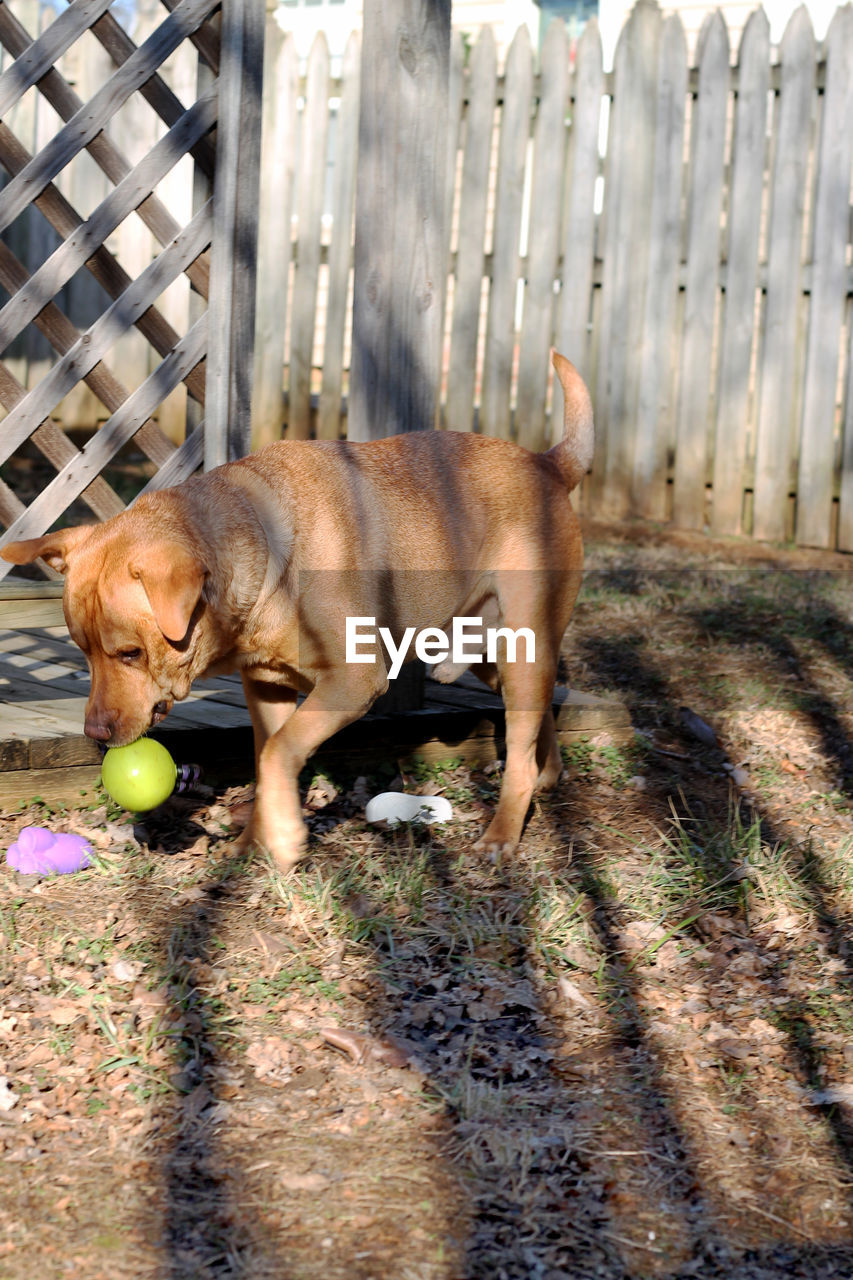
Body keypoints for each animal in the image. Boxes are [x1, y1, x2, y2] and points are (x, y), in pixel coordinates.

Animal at [1, 355, 591, 865]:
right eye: (82, 652)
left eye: (130, 653)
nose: (95, 735)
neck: (266, 555)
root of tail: (546, 463)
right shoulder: (266, 689)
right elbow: (267, 759)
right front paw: (255, 840)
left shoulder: (352, 682)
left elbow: (278, 754)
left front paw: (284, 839)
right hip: (494, 659)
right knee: (539, 715)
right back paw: (547, 775)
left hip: (521, 649)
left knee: (519, 750)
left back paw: (502, 833)